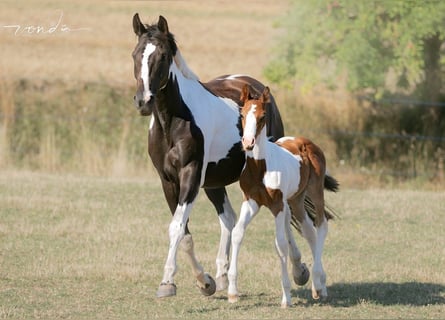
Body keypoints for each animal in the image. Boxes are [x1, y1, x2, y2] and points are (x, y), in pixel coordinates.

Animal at [132, 14, 284, 298]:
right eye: (136, 54)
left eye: (163, 55)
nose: (143, 101)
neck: (172, 122)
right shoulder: (168, 181)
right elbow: (183, 232)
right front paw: (205, 282)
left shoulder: (190, 175)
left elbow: (176, 228)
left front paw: (167, 282)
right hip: (215, 182)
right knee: (228, 218)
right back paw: (223, 276)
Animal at [227, 85, 338, 308]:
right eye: (242, 115)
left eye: (262, 117)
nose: (248, 143)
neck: (260, 167)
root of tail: (307, 142)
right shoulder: (251, 201)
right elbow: (237, 233)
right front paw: (232, 292)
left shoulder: (277, 204)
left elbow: (280, 244)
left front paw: (286, 297)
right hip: (296, 199)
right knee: (309, 231)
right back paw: (319, 284)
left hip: (315, 191)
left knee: (321, 225)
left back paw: (318, 285)